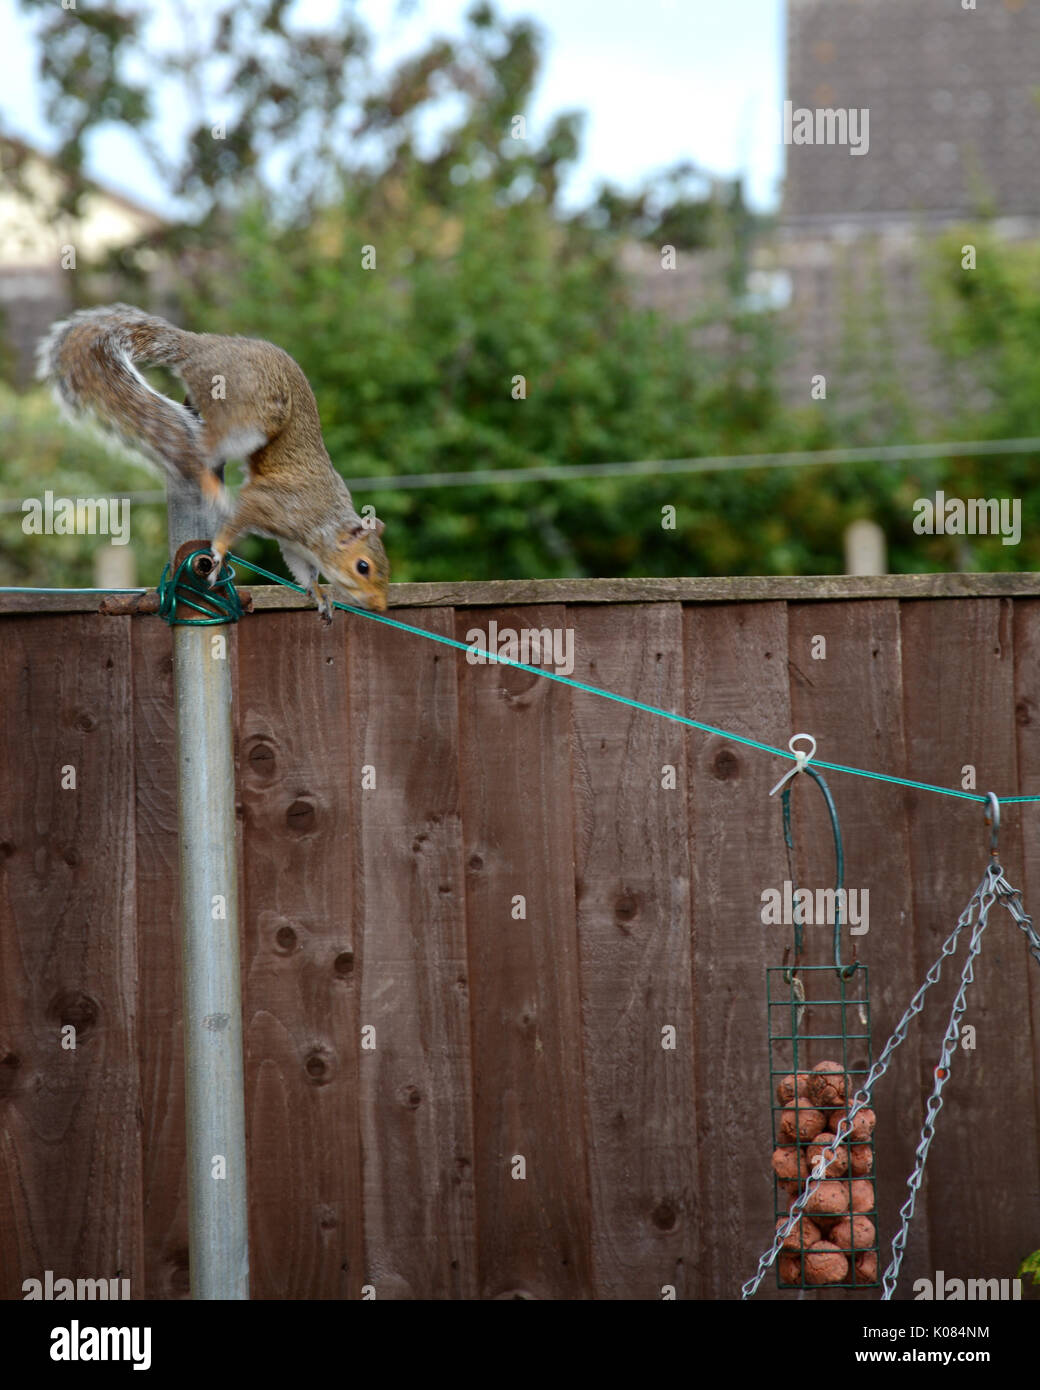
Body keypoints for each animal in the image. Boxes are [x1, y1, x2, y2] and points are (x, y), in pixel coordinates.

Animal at [37, 307, 389, 617]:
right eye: (363, 566)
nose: (380, 606)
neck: (324, 523)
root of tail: (201, 348)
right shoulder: (271, 505)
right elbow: (237, 518)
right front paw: (219, 550)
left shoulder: (294, 545)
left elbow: (303, 570)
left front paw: (318, 593)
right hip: (249, 410)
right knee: (201, 445)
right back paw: (207, 480)